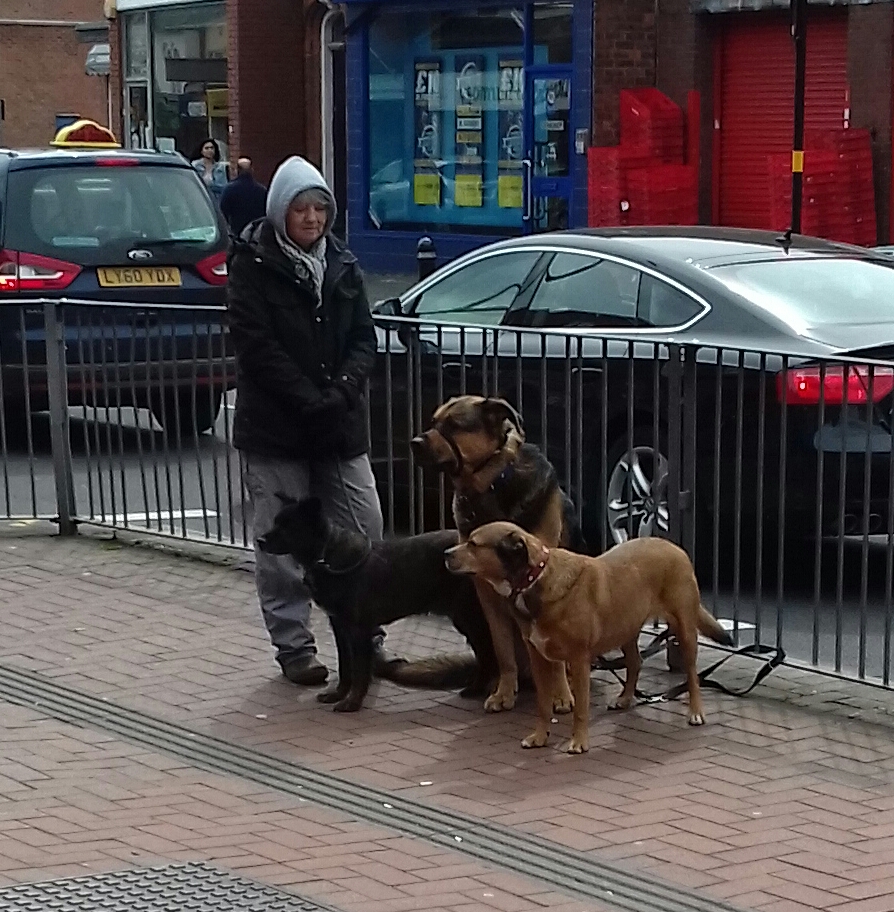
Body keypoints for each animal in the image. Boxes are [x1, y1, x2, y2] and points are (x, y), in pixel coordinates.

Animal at [258, 498, 496, 712]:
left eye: (288, 526)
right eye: (276, 522)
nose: (259, 540)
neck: (327, 557)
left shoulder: (358, 630)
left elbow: (360, 671)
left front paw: (352, 703)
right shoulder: (340, 627)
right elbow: (345, 667)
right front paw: (339, 694)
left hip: (469, 617)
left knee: (488, 654)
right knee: (485, 656)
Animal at [410, 396, 584, 716]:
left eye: (453, 424)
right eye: (433, 421)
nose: (414, 443)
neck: (492, 484)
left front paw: (561, 696)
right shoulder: (488, 597)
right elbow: (504, 653)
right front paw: (504, 693)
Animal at [448, 520, 736, 756]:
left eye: (473, 543)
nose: (445, 554)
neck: (535, 578)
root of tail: (674, 547)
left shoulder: (578, 660)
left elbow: (580, 709)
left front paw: (579, 742)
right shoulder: (539, 659)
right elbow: (542, 705)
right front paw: (540, 737)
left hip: (683, 628)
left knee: (692, 674)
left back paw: (696, 712)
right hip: (625, 627)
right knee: (635, 662)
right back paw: (625, 698)